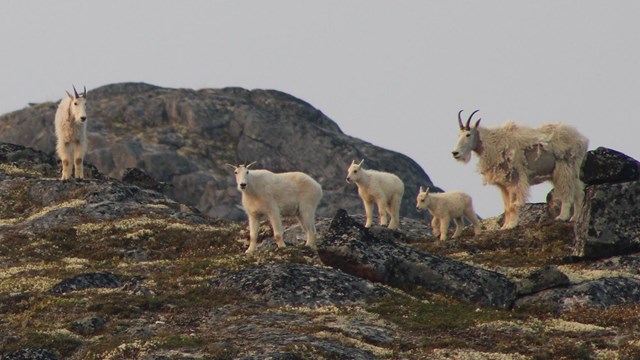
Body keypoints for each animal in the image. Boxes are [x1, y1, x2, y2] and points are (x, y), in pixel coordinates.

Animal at [452, 109, 588, 229]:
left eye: (468, 134)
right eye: (458, 135)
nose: (455, 153)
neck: (490, 143)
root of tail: (582, 139)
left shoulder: (515, 179)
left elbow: (513, 205)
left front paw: (511, 225)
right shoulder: (503, 184)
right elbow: (507, 207)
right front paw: (505, 226)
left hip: (564, 167)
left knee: (567, 191)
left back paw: (563, 217)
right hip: (574, 170)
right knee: (579, 192)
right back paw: (575, 218)